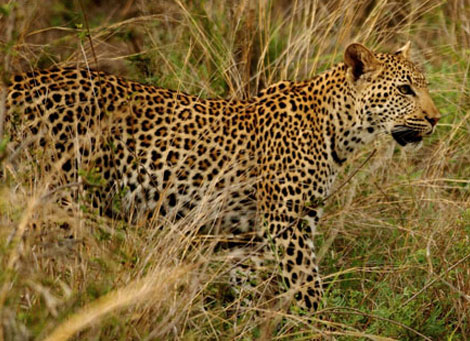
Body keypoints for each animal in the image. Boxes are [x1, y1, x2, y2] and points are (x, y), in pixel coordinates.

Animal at [1, 43, 438, 314]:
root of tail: (19, 83)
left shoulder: (247, 237)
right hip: (56, 203)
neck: (338, 129)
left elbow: (246, 287)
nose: (435, 119)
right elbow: (307, 289)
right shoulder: (289, 226)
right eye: (405, 89)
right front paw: (321, 326)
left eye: (422, 86)